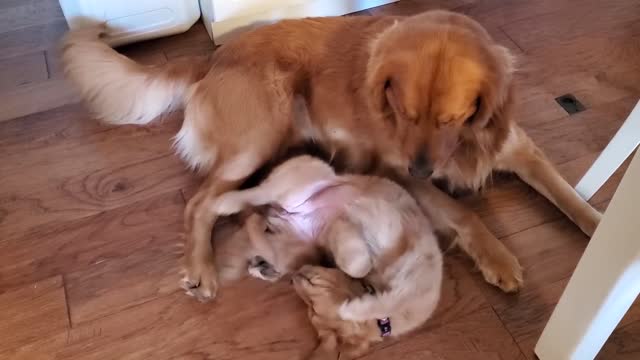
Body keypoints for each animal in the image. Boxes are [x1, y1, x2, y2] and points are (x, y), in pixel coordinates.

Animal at [60, 9, 600, 300]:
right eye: (404, 113)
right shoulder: (397, 171)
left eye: (450, 118)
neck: (460, 144)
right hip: (262, 134)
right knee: (200, 202)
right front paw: (498, 257)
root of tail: (214, 55)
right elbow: (463, 212)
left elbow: (570, 197)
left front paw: (601, 231)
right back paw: (202, 267)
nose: (421, 167)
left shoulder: (519, 148)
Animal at [212, 156, 442, 358]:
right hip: (302, 175)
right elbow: (358, 265)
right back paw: (225, 203)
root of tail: (290, 213)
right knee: (259, 193)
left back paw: (261, 264)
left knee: (264, 236)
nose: (297, 276)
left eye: (311, 307)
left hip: (292, 241)